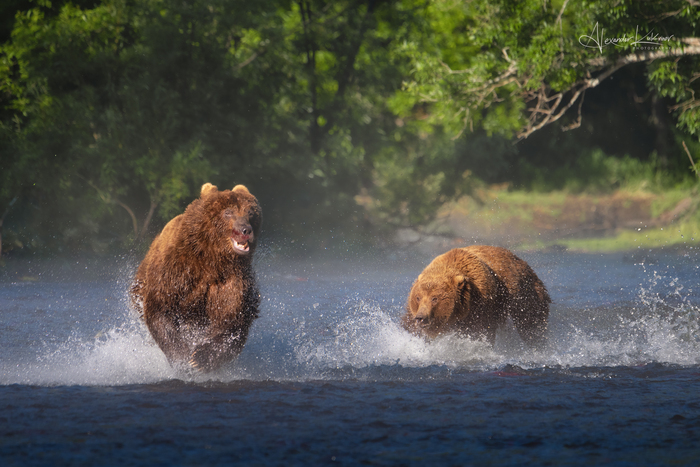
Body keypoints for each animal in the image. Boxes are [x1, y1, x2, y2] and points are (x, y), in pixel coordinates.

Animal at [130, 183, 262, 372]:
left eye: (250, 213)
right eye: (228, 212)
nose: (246, 230)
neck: (212, 259)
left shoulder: (231, 280)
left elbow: (231, 320)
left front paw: (199, 359)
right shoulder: (176, 270)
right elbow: (160, 308)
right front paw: (182, 356)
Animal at [404, 247, 552, 350]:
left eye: (435, 298)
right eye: (418, 297)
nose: (420, 317)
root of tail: (523, 262)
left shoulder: (481, 306)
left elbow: (481, 332)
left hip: (525, 293)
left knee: (531, 324)